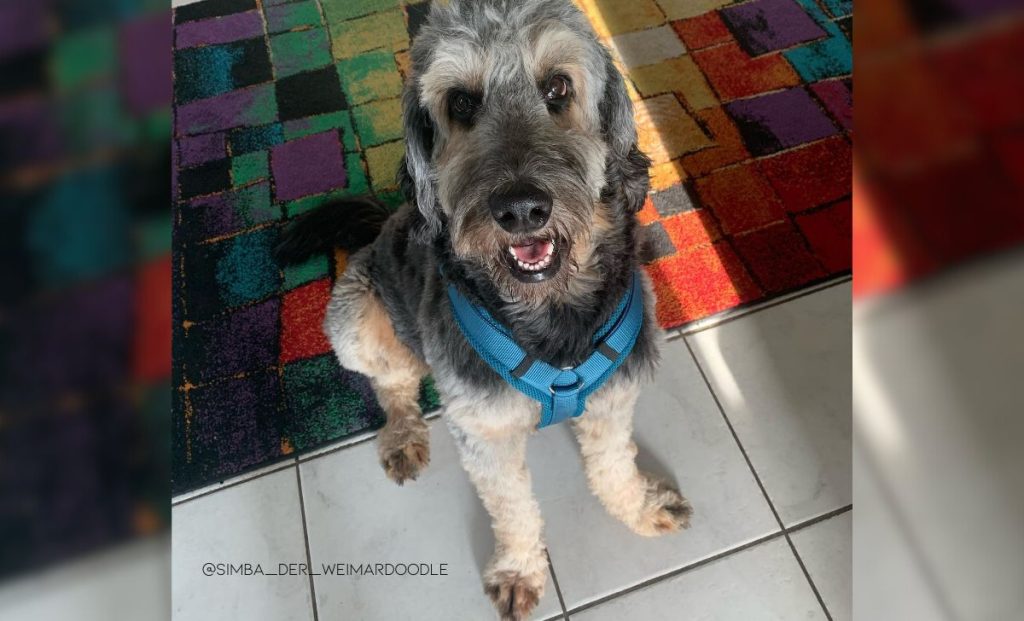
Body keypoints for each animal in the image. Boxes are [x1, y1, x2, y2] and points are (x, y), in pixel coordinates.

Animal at [278, 2, 696, 618]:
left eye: (558, 87)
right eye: (461, 103)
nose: (521, 208)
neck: (549, 311)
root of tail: (379, 226)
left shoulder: (614, 392)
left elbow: (612, 462)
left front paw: (637, 506)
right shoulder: (483, 429)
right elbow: (513, 507)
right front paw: (519, 568)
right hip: (356, 318)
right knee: (394, 382)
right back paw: (403, 435)